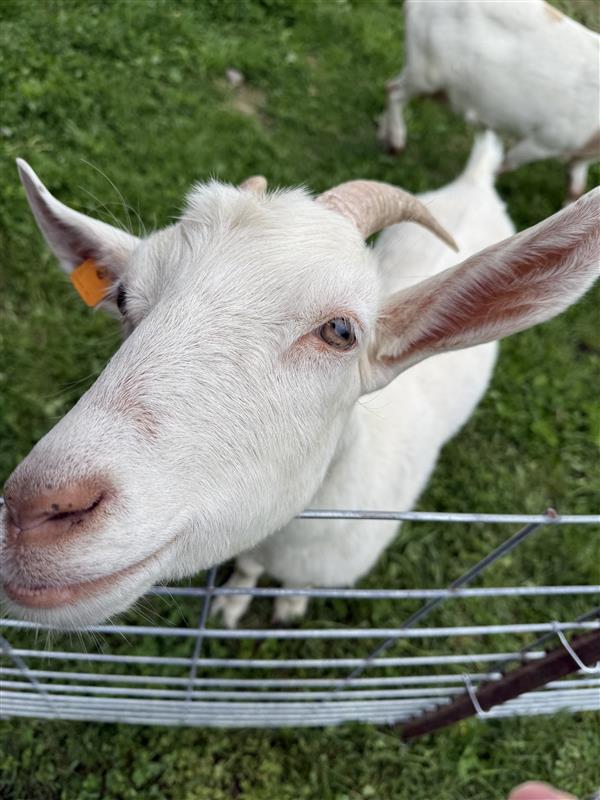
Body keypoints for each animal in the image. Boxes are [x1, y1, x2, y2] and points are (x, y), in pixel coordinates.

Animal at [1, 132, 598, 628]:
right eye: (123, 298)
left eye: (340, 331)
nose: (35, 512)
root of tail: (476, 179)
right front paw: (233, 602)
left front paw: (288, 605)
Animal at [378, 0, 600, 201]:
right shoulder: (545, 141)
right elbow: (505, 164)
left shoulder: (579, 159)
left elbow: (575, 192)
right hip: (426, 73)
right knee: (394, 92)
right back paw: (395, 143)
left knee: (392, 86)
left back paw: (382, 132)